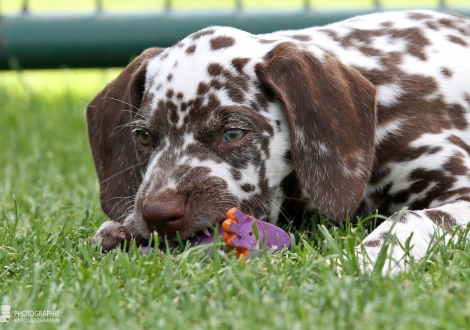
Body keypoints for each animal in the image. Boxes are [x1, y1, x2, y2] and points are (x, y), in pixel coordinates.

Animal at [88, 9, 470, 274]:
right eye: (145, 137)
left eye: (233, 133)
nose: (158, 215)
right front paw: (123, 227)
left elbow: (410, 220)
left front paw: (366, 258)